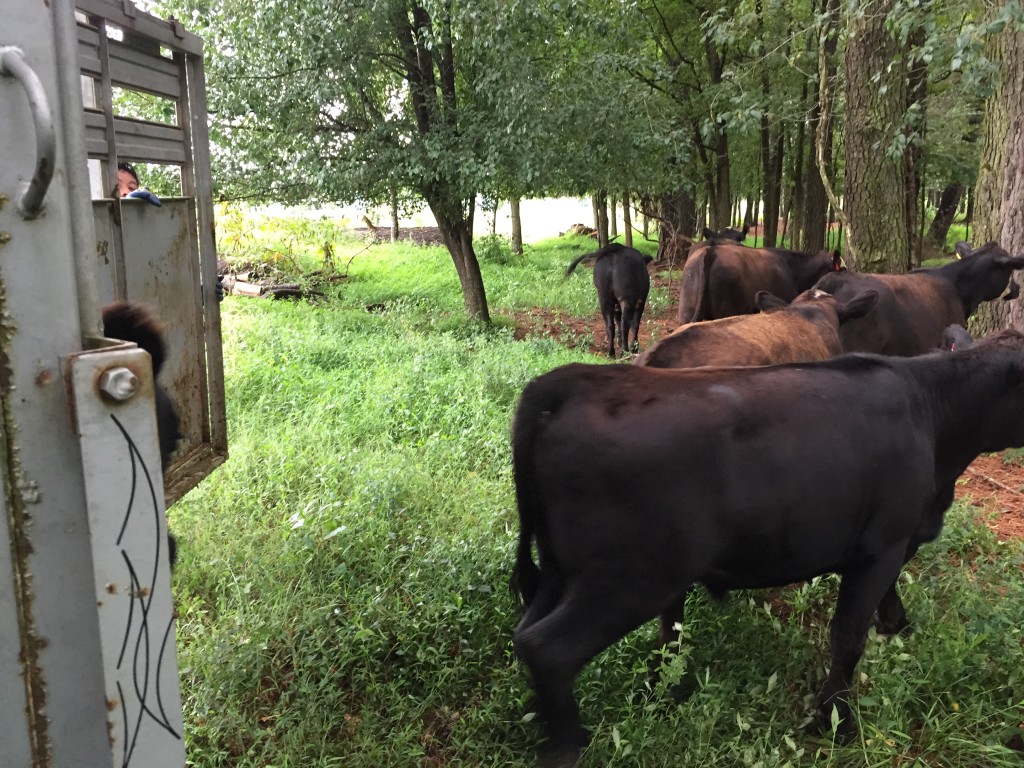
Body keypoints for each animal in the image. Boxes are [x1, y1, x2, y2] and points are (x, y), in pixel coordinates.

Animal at [512, 333, 1024, 765]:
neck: (931, 410)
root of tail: (576, 381)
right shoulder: (883, 543)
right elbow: (848, 636)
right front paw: (835, 722)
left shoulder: (895, 541)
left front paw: (893, 624)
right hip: (630, 578)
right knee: (548, 648)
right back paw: (568, 744)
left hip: (560, 568)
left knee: (530, 632)